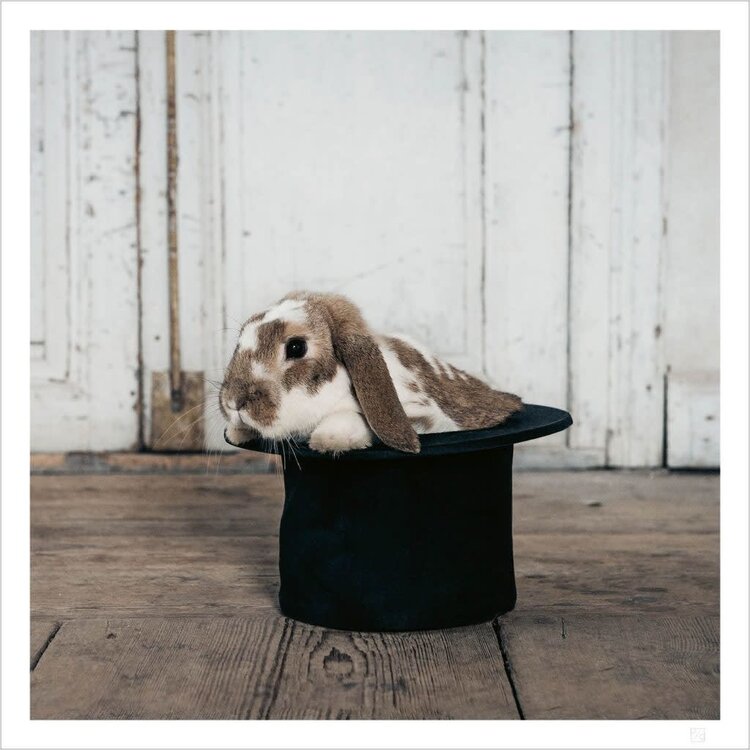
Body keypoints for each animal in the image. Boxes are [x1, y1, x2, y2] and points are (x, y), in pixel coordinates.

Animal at [220, 291, 522, 454]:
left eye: (296, 347)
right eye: (240, 338)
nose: (233, 401)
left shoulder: (424, 414)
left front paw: (329, 439)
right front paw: (237, 432)